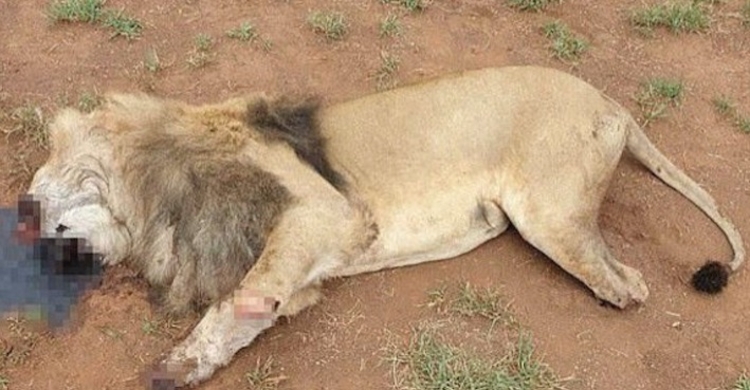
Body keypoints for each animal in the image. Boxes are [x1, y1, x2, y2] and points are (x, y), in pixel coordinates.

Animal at [25, 65, 748, 388]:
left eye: (31, 211)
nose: (33, 259)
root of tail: (608, 101)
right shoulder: (304, 267)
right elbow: (242, 314)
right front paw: (184, 367)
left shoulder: (327, 210)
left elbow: (246, 292)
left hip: (551, 216)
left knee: (630, 286)